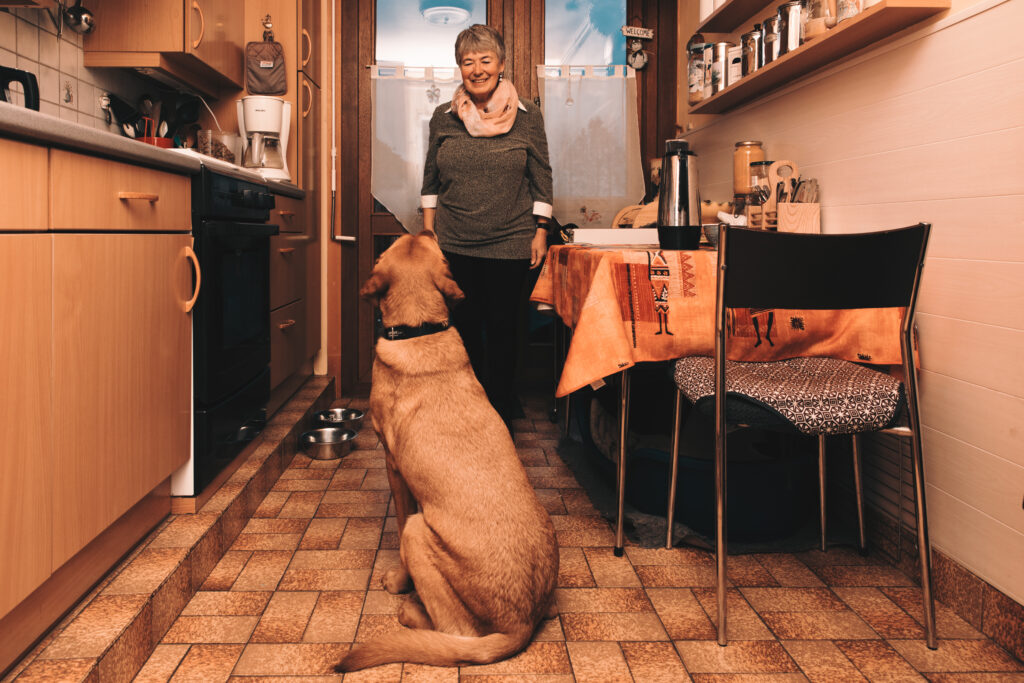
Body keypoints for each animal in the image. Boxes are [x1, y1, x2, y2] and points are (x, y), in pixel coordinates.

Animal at [335, 229, 557, 671]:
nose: (427, 228)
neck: (421, 331)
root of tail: (522, 624)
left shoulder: (394, 468)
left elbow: (399, 522)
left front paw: (398, 581)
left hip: (421, 535)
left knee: (458, 631)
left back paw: (411, 612)